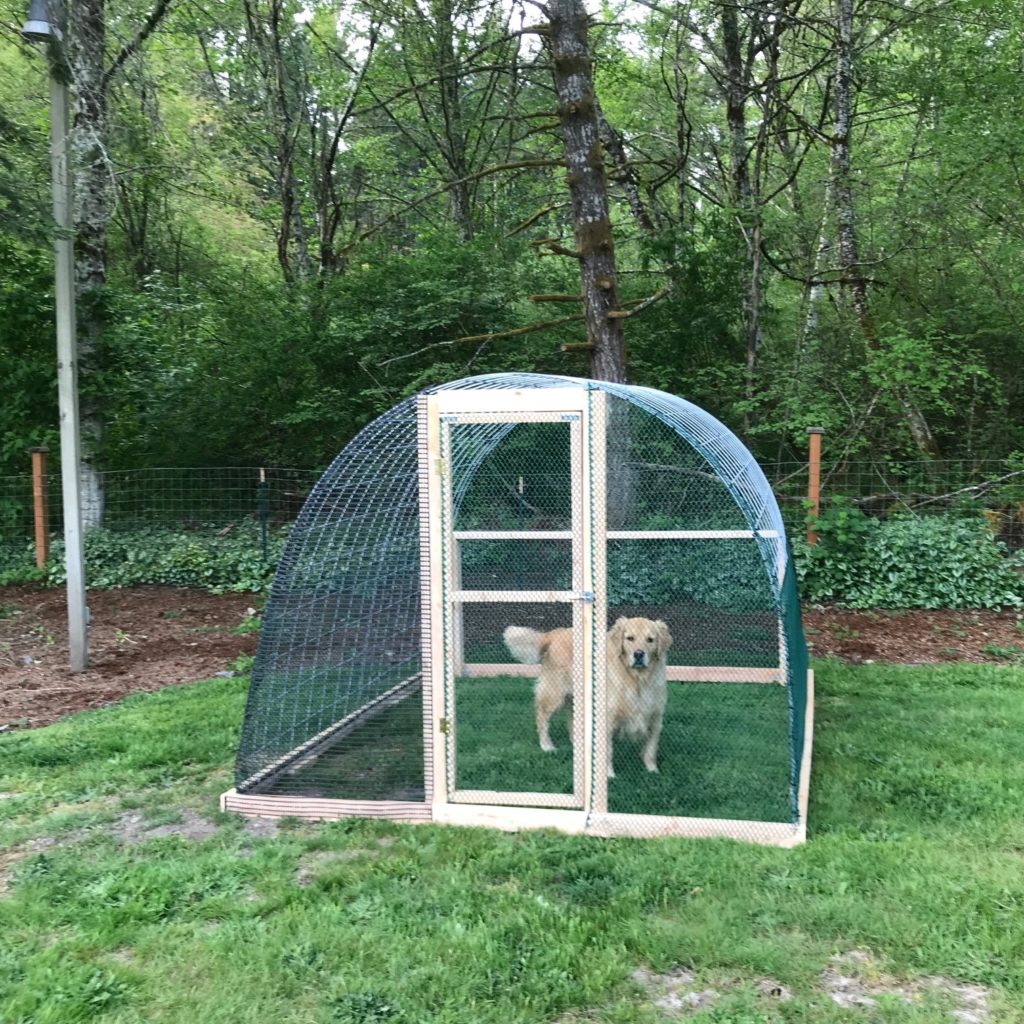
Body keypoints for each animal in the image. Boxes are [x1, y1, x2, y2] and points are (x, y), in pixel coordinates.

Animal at [501, 614, 671, 774]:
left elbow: (651, 748)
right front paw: (609, 774)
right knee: (542, 716)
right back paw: (547, 746)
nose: (639, 654)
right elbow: (607, 752)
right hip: (555, 694)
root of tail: (556, 633)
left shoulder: (655, 717)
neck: (637, 679)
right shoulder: (607, 718)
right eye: (630, 638)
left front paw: (652, 770)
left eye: (650, 640)